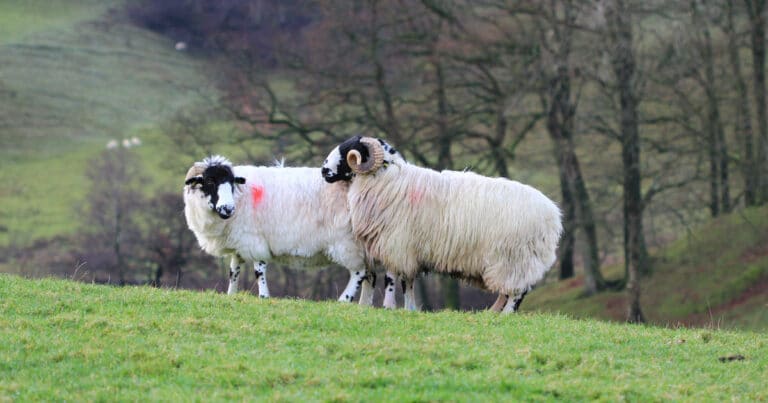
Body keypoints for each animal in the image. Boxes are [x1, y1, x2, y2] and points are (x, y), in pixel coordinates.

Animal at [183, 155, 379, 304]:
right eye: (209, 180)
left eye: (231, 182)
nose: (228, 209)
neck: (241, 196)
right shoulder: (241, 243)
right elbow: (234, 272)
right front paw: (231, 295)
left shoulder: (256, 241)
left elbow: (259, 271)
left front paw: (263, 297)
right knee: (371, 276)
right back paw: (364, 305)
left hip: (348, 243)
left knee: (359, 273)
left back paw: (344, 300)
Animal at [321, 136, 563, 313]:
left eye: (348, 151)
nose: (324, 171)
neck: (386, 181)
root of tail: (553, 216)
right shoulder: (410, 251)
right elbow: (408, 282)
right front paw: (410, 309)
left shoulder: (396, 245)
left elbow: (392, 278)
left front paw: (390, 307)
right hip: (509, 262)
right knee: (508, 290)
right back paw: (492, 312)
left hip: (516, 257)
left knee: (517, 292)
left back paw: (505, 315)